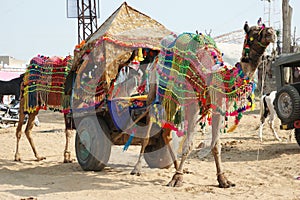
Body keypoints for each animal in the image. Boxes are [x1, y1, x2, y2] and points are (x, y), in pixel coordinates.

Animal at [130, 21, 276, 188]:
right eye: (254, 32)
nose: (272, 33)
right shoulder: (193, 106)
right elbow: (188, 144)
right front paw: (177, 178)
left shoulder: (219, 107)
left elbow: (216, 145)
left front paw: (223, 179)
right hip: (155, 91)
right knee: (148, 130)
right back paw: (137, 168)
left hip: (173, 100)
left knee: (166, 133)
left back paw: (176, 166)